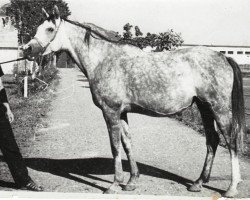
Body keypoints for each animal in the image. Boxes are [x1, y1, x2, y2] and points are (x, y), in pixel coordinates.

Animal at [23, 5, 246, 197]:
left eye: (50, 29)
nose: (27, 49)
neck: (104, 59)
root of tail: (223, 57)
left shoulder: (110, 111)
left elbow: (115, 146)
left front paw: (114, 184)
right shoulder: (122, 112)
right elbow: (127, 143)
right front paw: (131, 181)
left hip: (218, 109)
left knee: (230, 141)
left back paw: (231, 188)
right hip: (204, 107)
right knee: (212, 140)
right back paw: (198, 183)